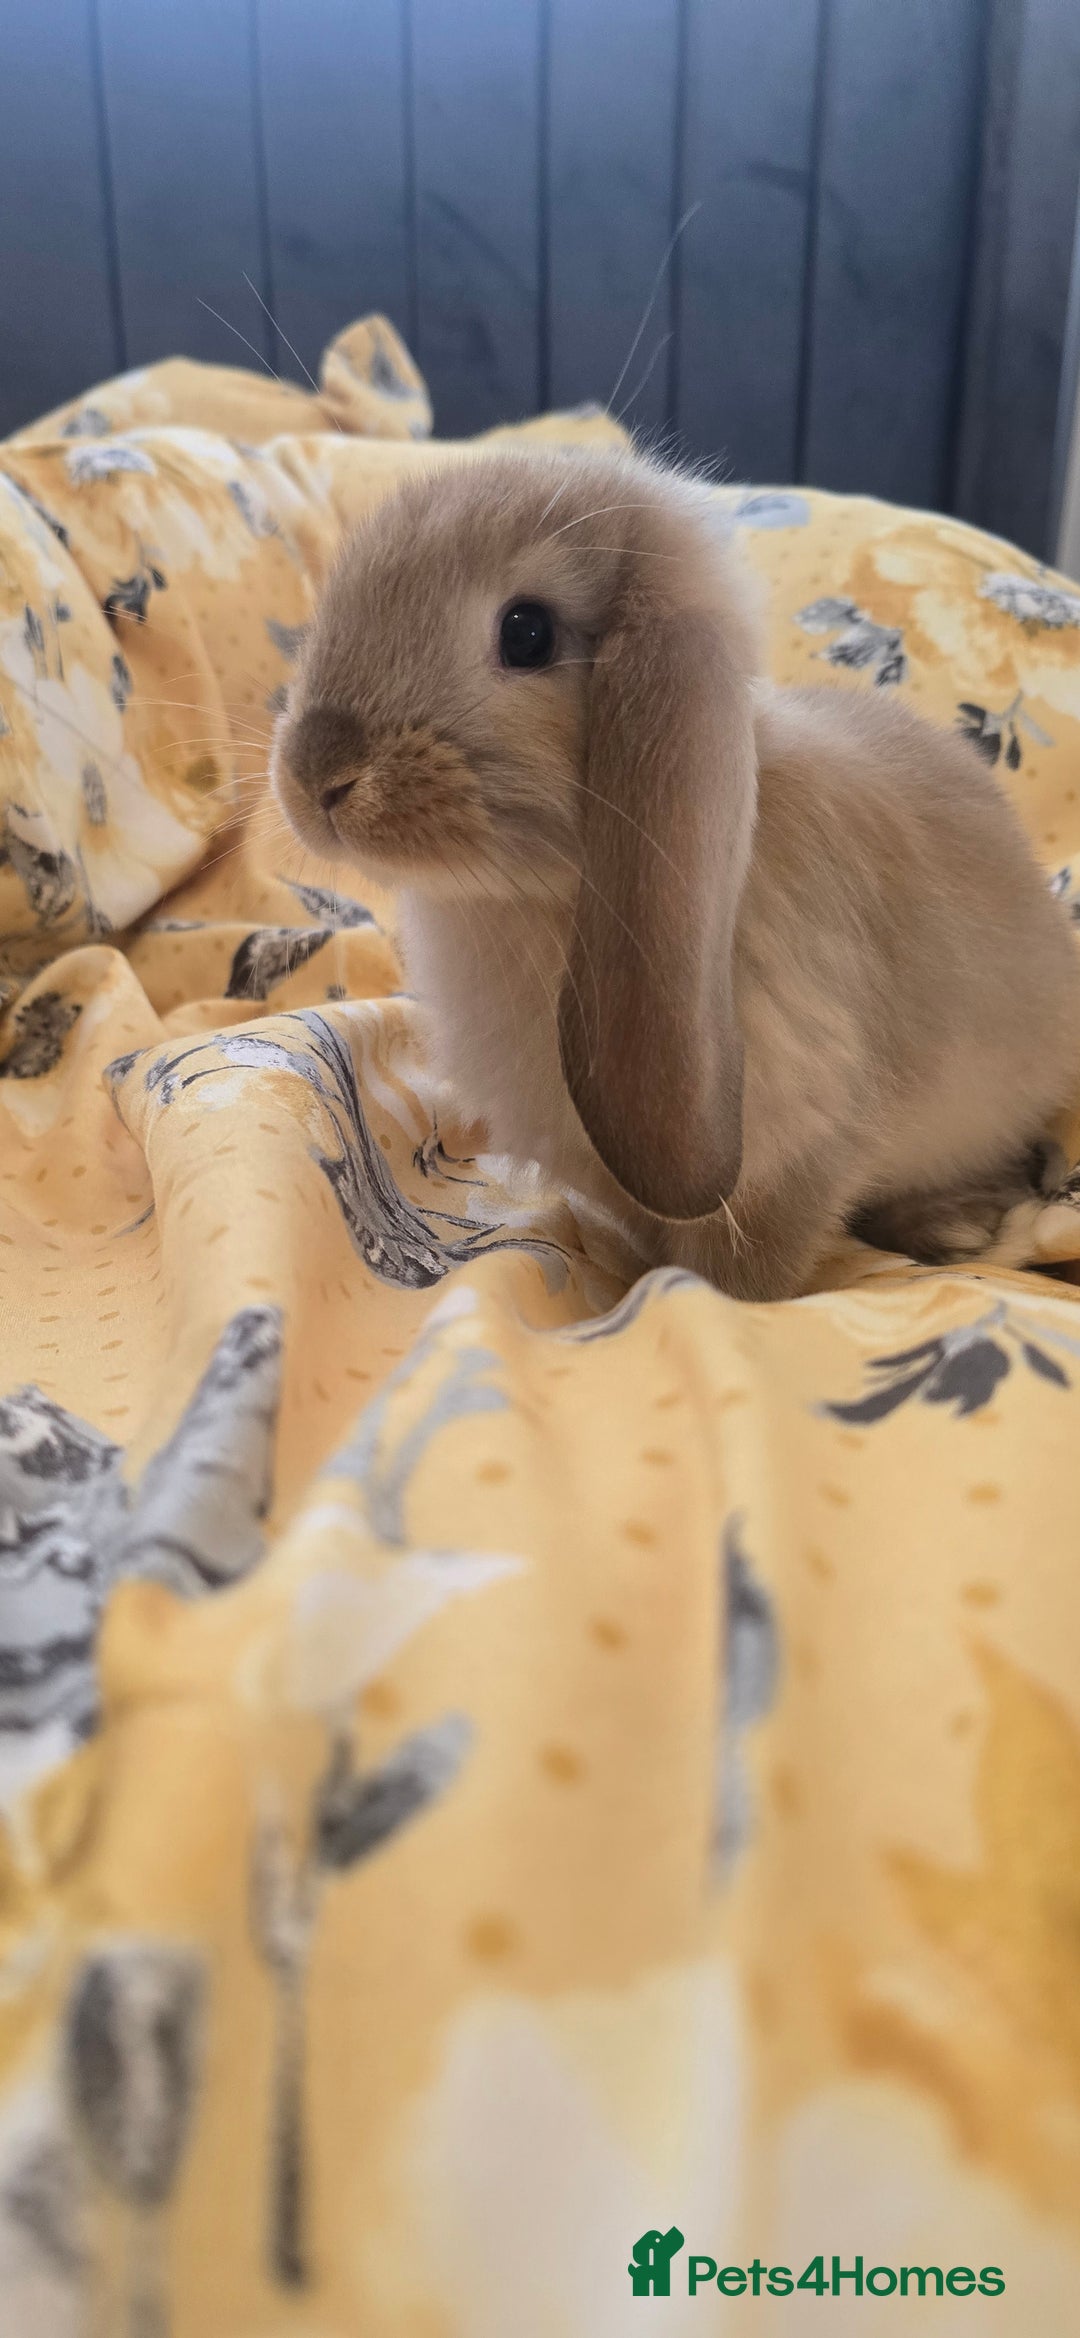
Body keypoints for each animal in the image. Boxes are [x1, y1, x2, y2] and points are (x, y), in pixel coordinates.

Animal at [271, 444, 1080, 1301]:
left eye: (527, 633)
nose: (317, 772)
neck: (551, 898)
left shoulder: (797, 1158)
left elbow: (741, 1270)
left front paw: (686, 1300)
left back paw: (956, 1225)